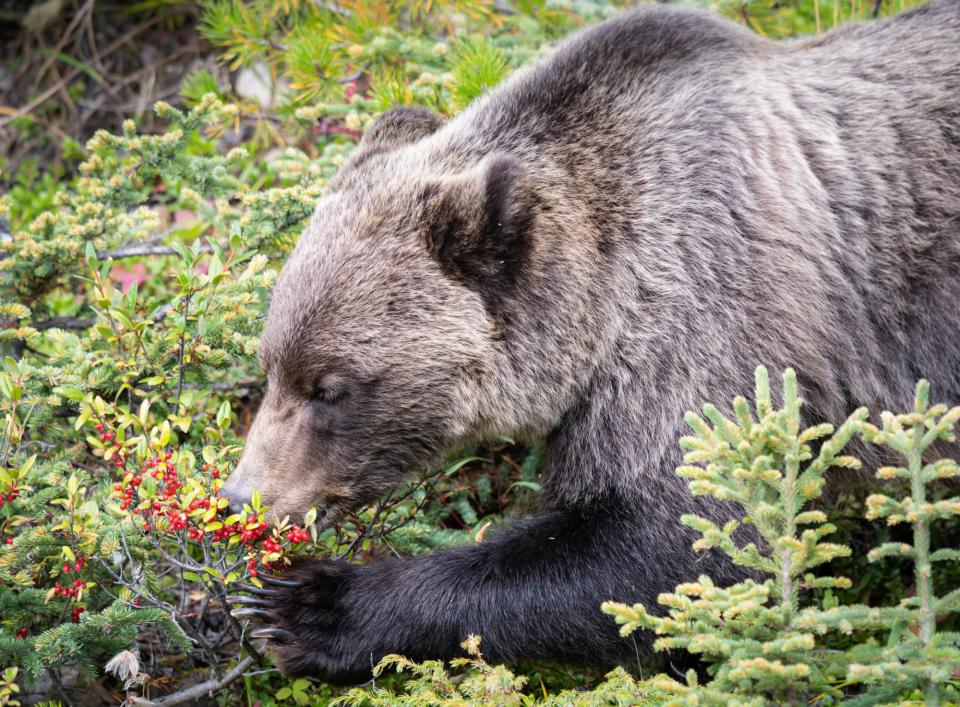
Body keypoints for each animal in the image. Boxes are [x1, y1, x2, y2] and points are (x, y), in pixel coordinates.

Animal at [223, 0, 960, 684]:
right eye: (271, 366)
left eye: (330, 387)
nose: (242, 498)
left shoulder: (712, 318)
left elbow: (676, 544)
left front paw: (310, 607)